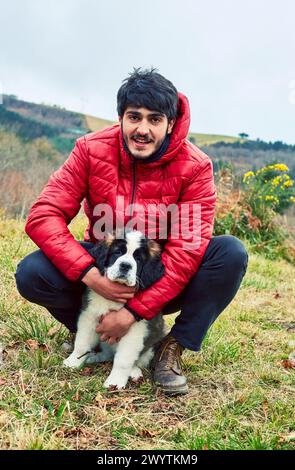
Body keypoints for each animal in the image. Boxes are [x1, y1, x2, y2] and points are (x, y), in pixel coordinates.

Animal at [63, 230, 168, 390]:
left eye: (138, 258)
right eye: (118, 252)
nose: (125, 266)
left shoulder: (135, 330)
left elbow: (123, 359)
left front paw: (115, 382)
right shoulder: (90, 316)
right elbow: (82, 343)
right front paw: (73, 362)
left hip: (153, 344)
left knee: (135, 360)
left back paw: (134, 372)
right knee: (108, 354)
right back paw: (94, 357)